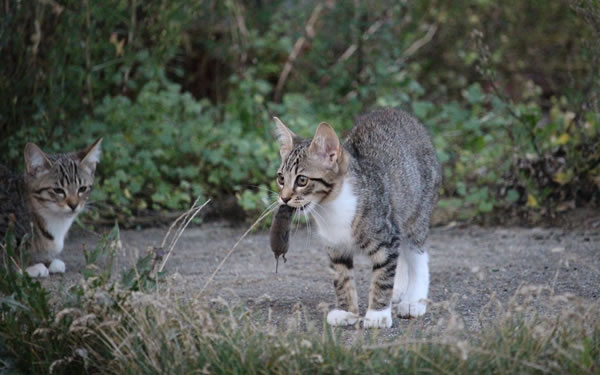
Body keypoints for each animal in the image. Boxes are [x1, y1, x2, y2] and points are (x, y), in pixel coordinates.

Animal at [274, 108, 440, 328]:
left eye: (302, 180)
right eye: (281, 178)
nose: (284, 198)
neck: (330, 207)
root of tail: (396, 111)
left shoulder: (386, 237)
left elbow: (382, 277)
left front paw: (378, 314)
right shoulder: (336, 247)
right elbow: (342, 277)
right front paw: (346, 311)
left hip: (416, 213)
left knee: (417, 255)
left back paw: (414, 300)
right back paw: (399, 290)